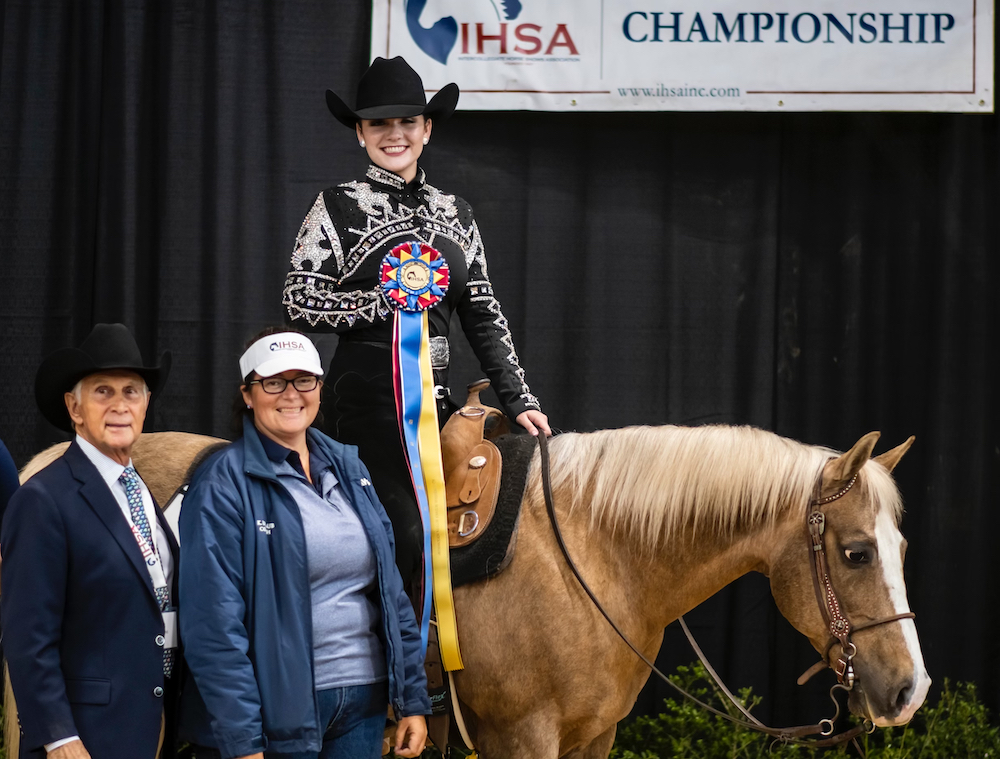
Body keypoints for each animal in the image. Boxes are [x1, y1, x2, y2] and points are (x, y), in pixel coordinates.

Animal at [1, 424, 928, 756]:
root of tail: (55, 462)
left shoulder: (593, 739)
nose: (910, 689)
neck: (595, 555)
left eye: (899, 545)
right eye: (853, 552)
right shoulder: (522, 738)